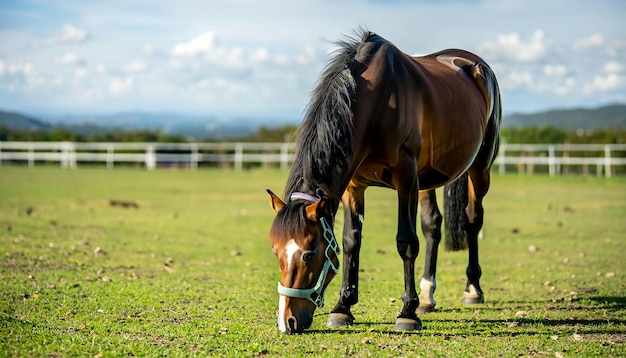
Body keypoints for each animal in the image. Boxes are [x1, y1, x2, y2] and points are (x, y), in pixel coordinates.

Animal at [266, 29, 500, 334]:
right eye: (275, 251)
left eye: (308, 253)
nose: (287, 321)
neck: (378, 102)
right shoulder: (354, 186)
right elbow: (351, 241)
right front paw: (342, 308)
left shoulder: (406, 178)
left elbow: (406, 242)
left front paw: (407, 313)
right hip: (427, 180)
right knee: (432, 225)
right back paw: (427, 295)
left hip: (479, 167)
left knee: (472, 219)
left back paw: (472, 289)